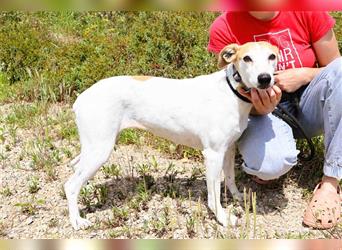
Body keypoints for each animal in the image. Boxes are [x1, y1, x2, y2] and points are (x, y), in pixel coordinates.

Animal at [63, 41, 278, 230]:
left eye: (272, 56)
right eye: (247, 58)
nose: (265, 78)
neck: (232, 91)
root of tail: (81, 98)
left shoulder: (229, 149)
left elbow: (231, 178)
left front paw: (237, 197)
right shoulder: (213, 154)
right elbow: (214, 194)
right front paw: (222, 217)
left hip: (95, 146)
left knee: (75, 167)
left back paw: (87, 190)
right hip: (100, 149)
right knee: (70, 185)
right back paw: (76, 220)